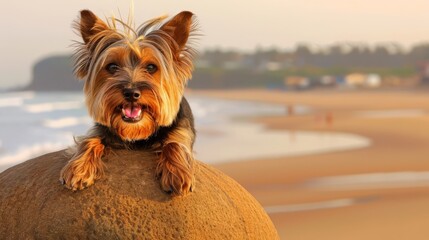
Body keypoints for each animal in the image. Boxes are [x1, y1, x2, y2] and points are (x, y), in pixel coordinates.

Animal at [59, 9, 198, 197]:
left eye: (151, 67)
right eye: (112, 67)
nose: (131, 93)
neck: (138, 133)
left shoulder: (182, 131)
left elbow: (174, 144)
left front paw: (178, 173)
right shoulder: (101, 130)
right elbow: (89, 140)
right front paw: (78, 168)